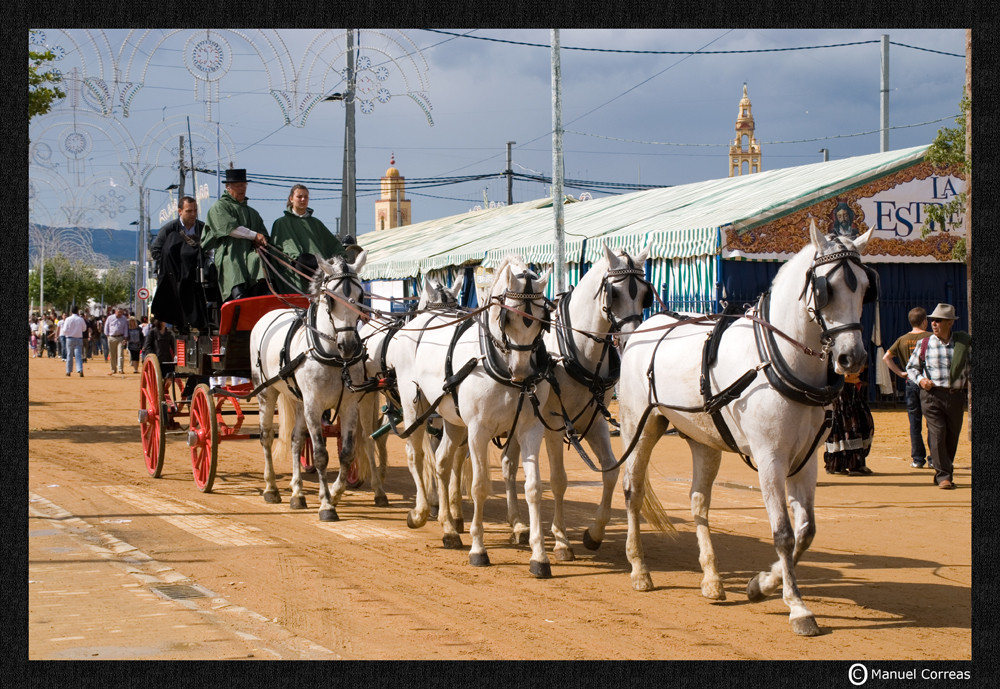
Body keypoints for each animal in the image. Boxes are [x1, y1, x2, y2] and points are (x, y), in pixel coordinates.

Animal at [250, 253, 372, 520]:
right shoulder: (314, 406)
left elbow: (346, 453)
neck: (336, 359)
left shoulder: (348, 406)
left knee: (296, 440)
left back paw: (297, 493)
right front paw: (326, 505)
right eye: (330, 298)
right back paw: (271, 488)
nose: (348, 345)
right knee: (266, 438)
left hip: (297, 400)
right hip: (266, 392)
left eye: (360, 297)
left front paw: (335, 493)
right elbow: (320, 455)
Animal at [386, 256, 556, 576]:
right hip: (414, 408)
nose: (523, 372)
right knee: (416, 456)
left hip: (452, 420)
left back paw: (449, 529)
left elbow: (533, 488)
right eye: (507, 317)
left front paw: (539, 555)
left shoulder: (530, 430)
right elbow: (479, 486)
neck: (496, 362)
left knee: (442, 461)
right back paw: (421, 512)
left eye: (542, 320)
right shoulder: (478, 430)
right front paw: (479, 549)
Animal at [498, 243, 656, 560]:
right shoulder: (554, 424)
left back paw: (518, 524)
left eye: (645, 294)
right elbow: (559, 480)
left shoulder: (594, 421)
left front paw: (594, 533)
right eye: (614, 293)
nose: (629, 340)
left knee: (508, 463)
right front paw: (561, 540)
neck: (577, 352)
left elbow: (611, 471)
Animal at [616, 222, 876, 636]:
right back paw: (640, 570)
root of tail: (647, 326)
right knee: (633, 491)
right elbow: (783, 533)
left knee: (698, 502)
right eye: (826, 287)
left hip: (704, 441)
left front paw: (761, 585)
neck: (776, 359)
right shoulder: (771, 458)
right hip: (639, 429)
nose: (852, 357)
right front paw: (797, 607)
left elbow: (807, 531)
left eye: (866, 288)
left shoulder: (806, 461)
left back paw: (711, 579)